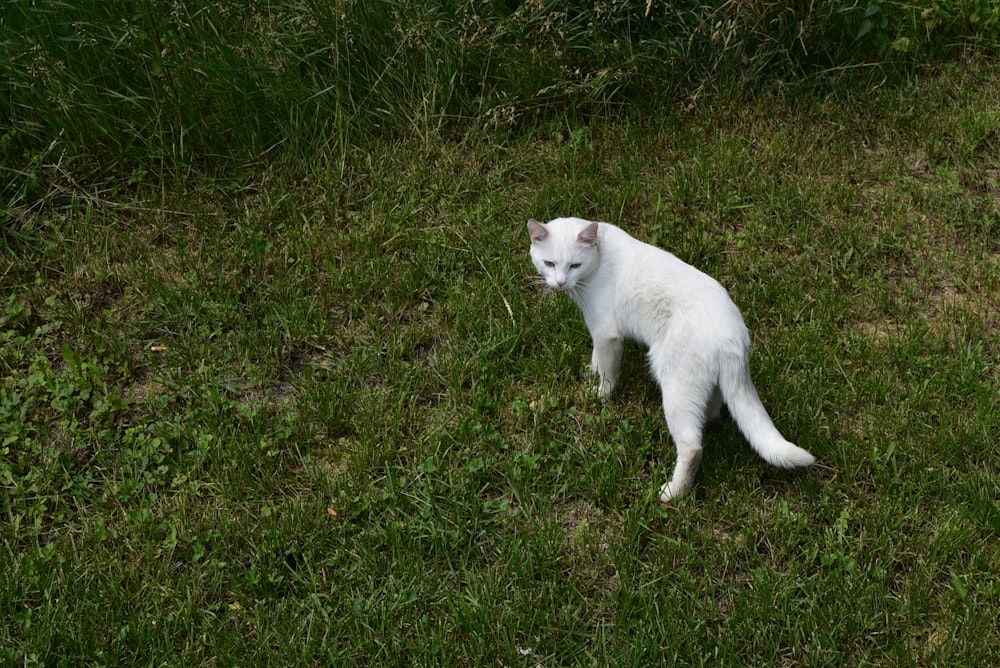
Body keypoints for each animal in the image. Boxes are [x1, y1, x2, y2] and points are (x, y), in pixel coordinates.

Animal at [528, 218, 816, 500]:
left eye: (574, 265)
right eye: (550, 263)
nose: (560, 282)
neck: (598, 260)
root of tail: (733, 335)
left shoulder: (605, 332)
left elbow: (607, 372)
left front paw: (600, 396)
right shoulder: (596, 330)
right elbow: (596, 358)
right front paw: (590, 373)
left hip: (676, 388)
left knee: (692, 447)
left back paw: (672, 495)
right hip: (705, 385)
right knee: (711, 412)